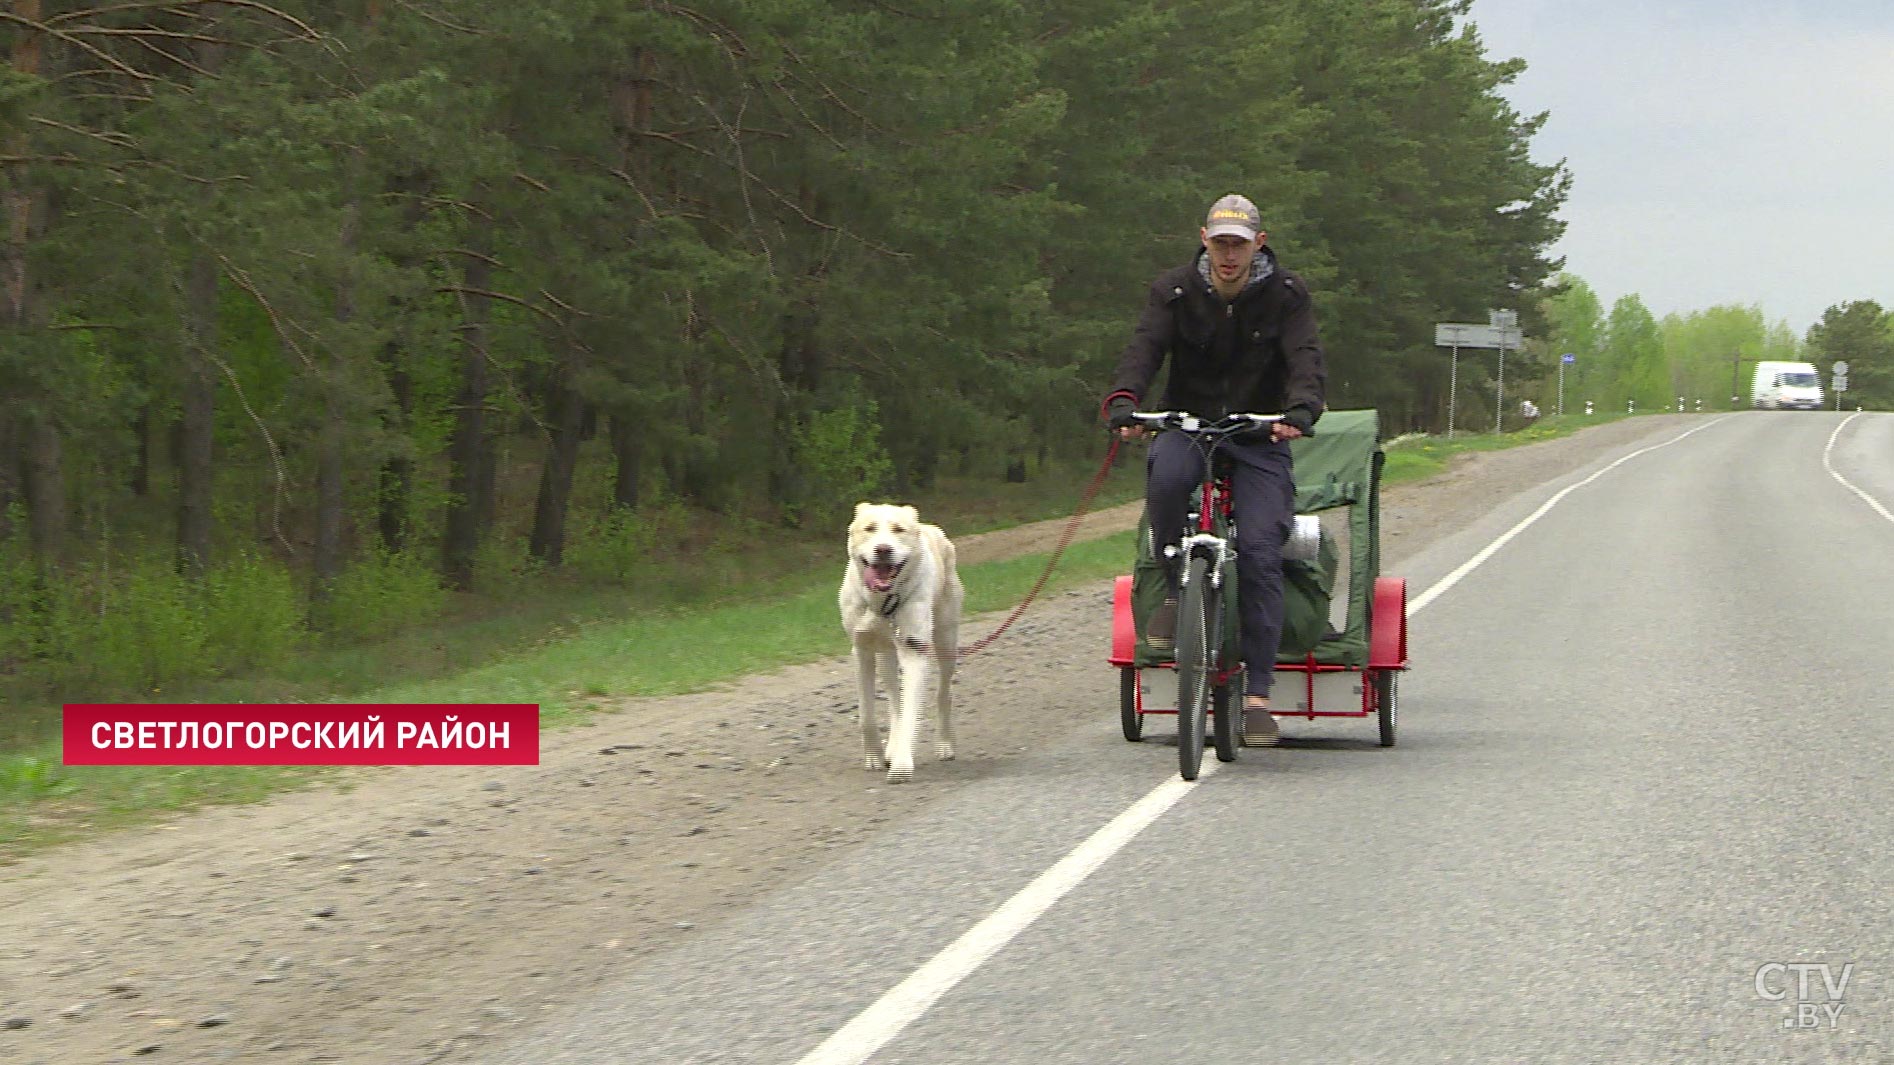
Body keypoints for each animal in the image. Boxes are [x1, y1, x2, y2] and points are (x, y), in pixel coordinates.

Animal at [840, 496, 962, 780]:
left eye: (898, 530)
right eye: (870, 528)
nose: (883, 549)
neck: (882, 602)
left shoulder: (914, 649)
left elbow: (910, 712)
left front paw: (902, 763)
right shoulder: (861, 650)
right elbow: (867, 714)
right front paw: (874, 757)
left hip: (946, 640)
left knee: (942, 694)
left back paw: (945, 745)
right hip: (886, 654)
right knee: (895, 699)